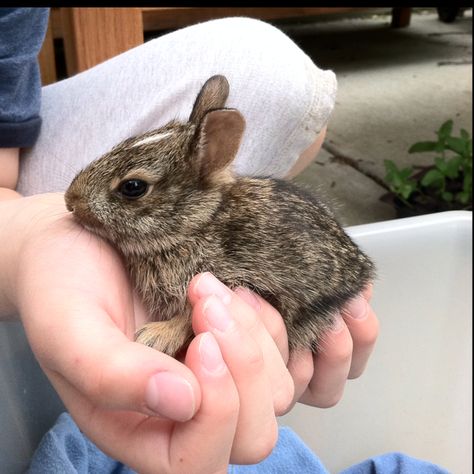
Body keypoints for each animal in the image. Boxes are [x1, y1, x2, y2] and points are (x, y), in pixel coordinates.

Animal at [65, 75, 374, 356]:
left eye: (133, 187)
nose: (71, 200)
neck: (198, 224)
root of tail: (363, 272)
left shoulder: (234, 281)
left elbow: (188, 317)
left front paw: (154, 336)